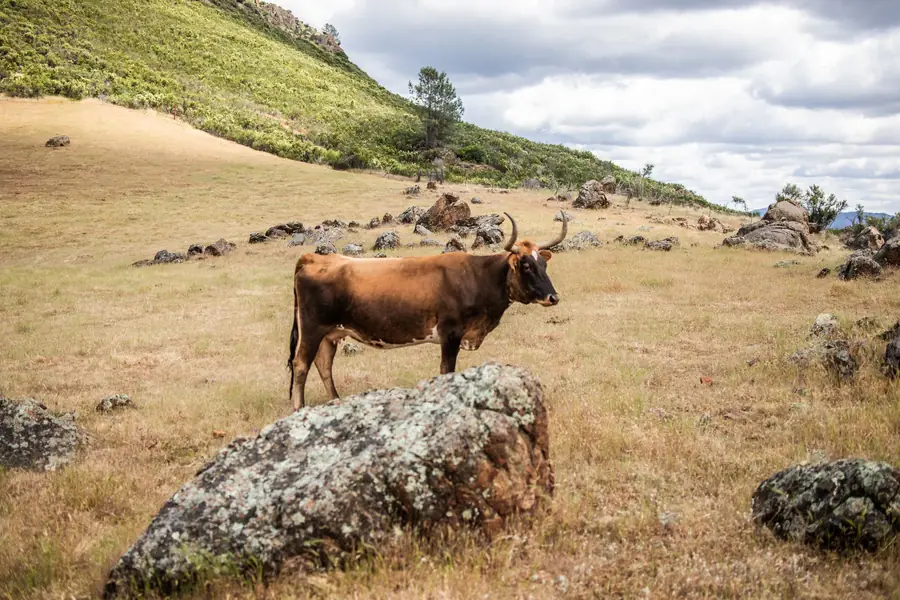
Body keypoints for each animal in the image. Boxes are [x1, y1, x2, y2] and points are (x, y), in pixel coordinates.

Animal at [287, 213, 567, 410]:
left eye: (543, 264)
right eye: (526, 265)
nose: (553, 297)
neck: (477, 276)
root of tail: (314, 258)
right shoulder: (450, 334)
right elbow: (446, 370)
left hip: (330, 333)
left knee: (324, 365)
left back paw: (336, 402)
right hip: (312, 329)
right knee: (301, 365)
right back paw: (299, 409)